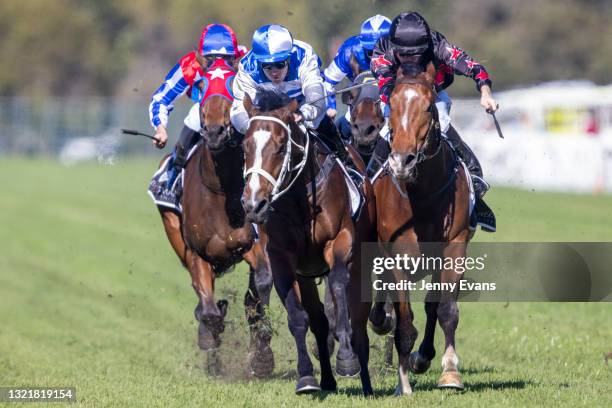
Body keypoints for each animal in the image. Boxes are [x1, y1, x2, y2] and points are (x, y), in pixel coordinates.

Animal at [155, 59, 274, 378]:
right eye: (202, 84)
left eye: (233, 83)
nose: (214, 131)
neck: (220, 190)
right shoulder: (198, 253)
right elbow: (208, 311)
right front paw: (210, 333)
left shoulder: (252, 243)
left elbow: (261, 286)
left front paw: (261, 354)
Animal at [240, 90, 378, 396]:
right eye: (245, 146)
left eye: (281, 147)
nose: (254, 204)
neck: (299, 200)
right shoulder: (281, 257)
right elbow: (298, 317)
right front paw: (305, 377)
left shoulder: (340, 241)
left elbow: (338, 285)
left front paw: (347, 359)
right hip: (305, 275)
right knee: (318, 321)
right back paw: (326, 379)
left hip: (362, 263)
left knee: (359, 319)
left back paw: (365, 381)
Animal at [372, 62, 474, 394]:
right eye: (391, 106)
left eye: (428, 106)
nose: (401, 161)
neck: (424, 194)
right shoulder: (397, 256)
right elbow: (404, 319)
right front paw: (402, 384)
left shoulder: (455, 245)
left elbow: (445, 310)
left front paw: (450, 372)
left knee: (432, 306)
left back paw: (423, 356)